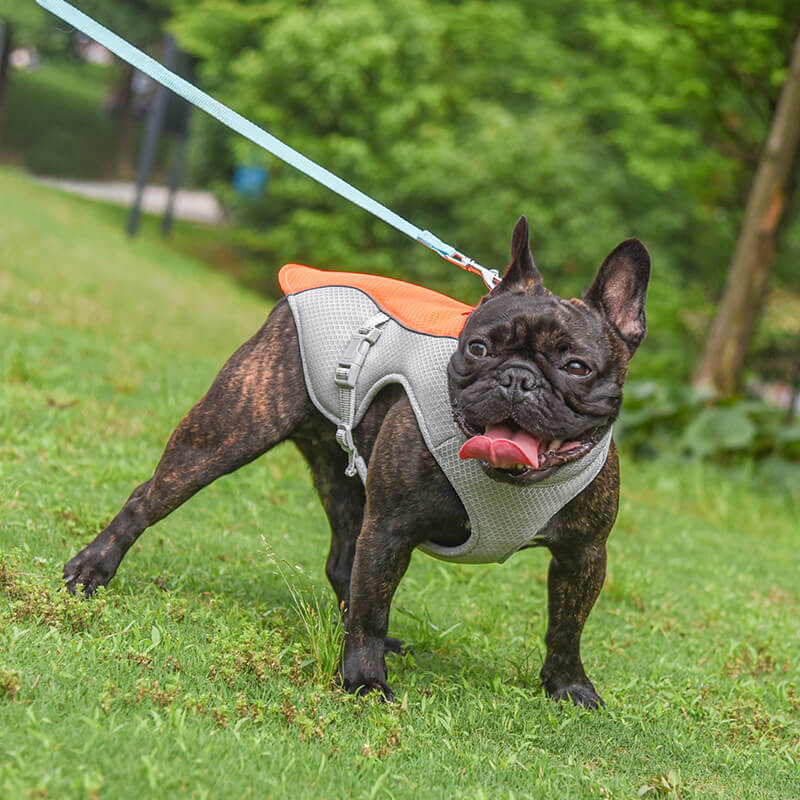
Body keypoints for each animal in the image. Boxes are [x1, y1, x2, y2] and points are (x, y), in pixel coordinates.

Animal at [64, 217, 648, 708]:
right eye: (479, 348)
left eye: (576, 367)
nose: (517, 378)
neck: (509, 480)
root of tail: (309, 281)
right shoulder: (391, 529)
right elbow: (371, 609)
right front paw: (365, 681)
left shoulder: (583, 554)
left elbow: (567, 626)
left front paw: (568, 686)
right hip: (226, 433)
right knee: (149, 498)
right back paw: (91, 569)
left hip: (345, 481)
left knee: (345, 562)